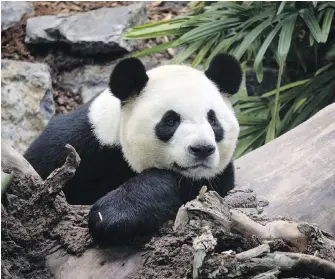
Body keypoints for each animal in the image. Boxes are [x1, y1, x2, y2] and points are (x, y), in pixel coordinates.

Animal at [23, 52, 243, 247]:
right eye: (170, 121)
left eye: (213, 120)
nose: (202, 149)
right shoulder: (79, 140)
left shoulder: (213, 177)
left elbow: (186, 184)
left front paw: (112, 216)